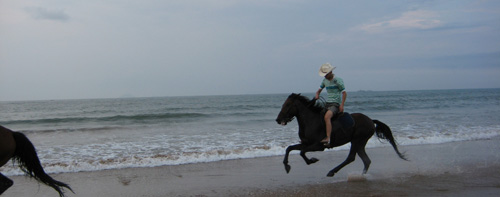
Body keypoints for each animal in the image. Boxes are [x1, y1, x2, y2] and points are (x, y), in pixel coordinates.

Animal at [276, 94, 408, 177]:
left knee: (351, 158)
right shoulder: (306, 143)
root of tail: (371, 120)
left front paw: (312, 160)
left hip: (357, 140)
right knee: (366, 160)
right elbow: (290, 148)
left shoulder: (319, 146)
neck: (311, 121)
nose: (278, 120)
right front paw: (287, 166)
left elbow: (301, 152)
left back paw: (332, 172)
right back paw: (361, 175)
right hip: (359, 143)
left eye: (287, 105)